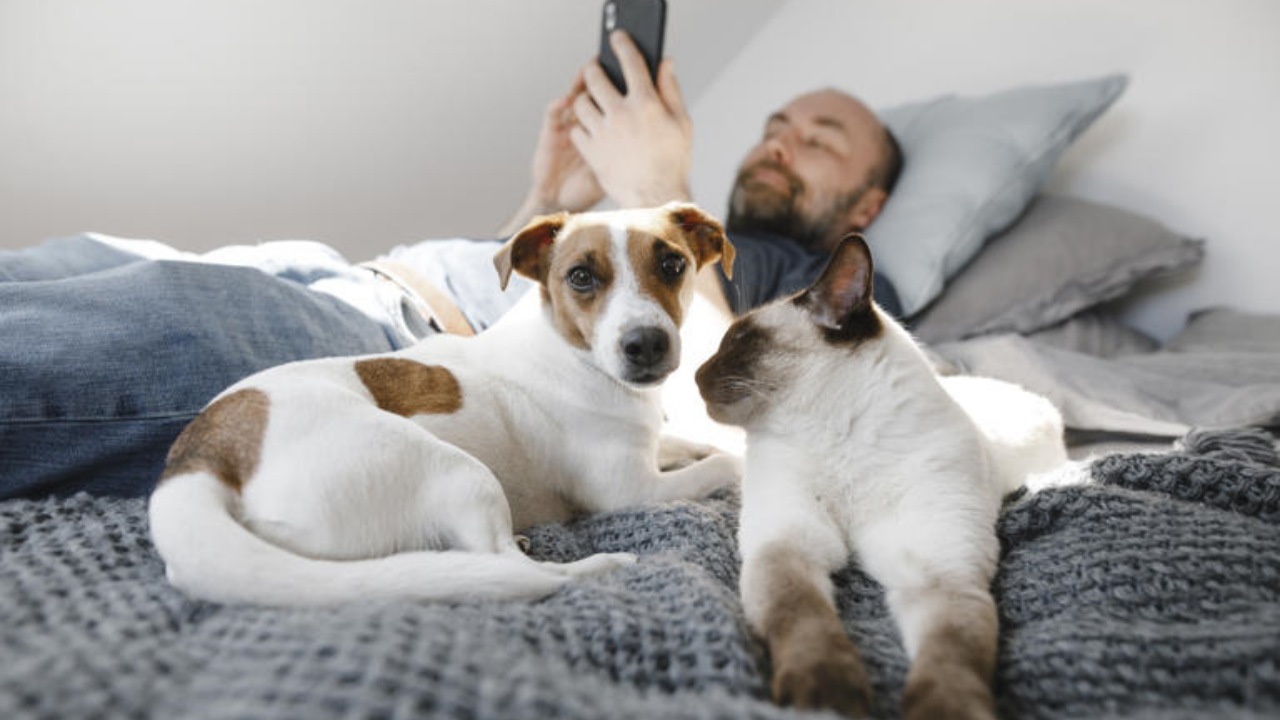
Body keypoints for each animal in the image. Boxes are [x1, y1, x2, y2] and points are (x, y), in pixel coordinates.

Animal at [152, 202, 742, 604]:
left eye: (672, 265)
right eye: (580, 276)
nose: (646, 345)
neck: (570, 351)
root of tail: (199, 460)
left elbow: (691, 443)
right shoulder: (630, 489)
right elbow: (723, 463)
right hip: (458, 472)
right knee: (516, 570)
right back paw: (592, 565)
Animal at [696, 233, 1064, 712]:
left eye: (740, 340)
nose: (695, 374)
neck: (840, 438)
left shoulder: (940, 572)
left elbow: (952, 658)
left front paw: (943, 708)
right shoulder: (788, 545)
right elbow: (805, 620)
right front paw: (829, 697)